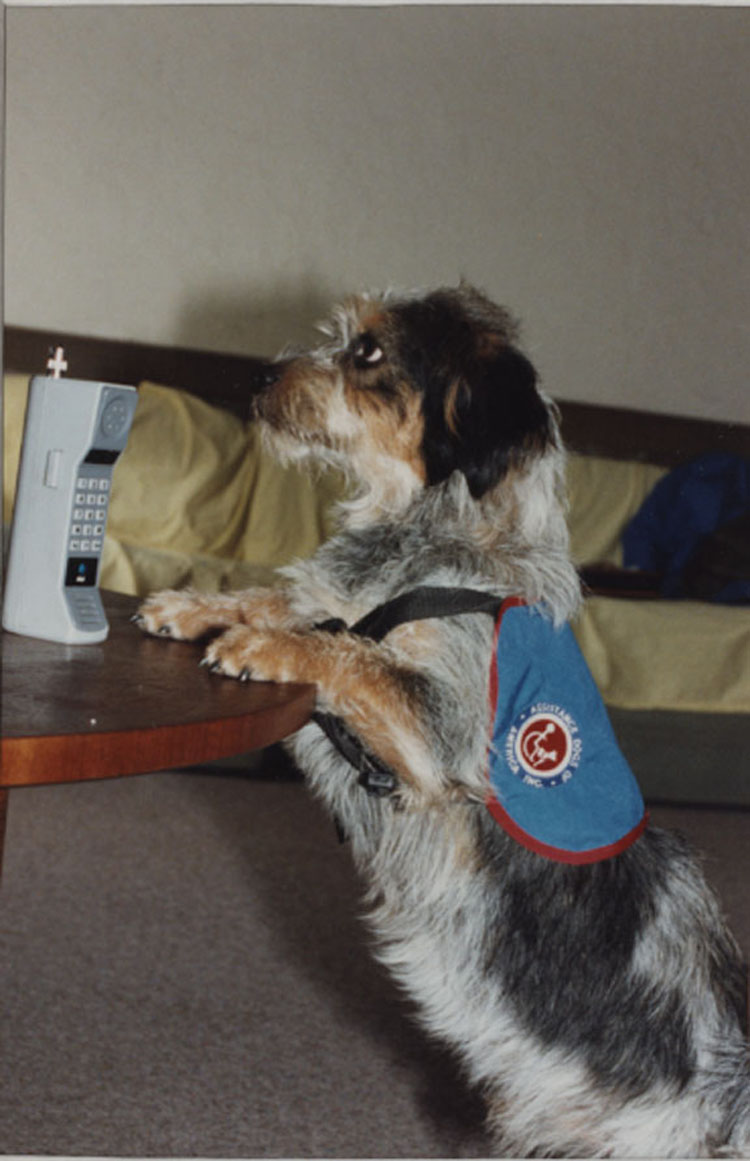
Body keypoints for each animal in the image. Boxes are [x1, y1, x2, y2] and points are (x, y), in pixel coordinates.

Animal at [135, 285, 750, 1156]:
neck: (442, 535)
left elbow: (348, 650)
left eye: (368, 352)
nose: (255, 378)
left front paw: (262, 643)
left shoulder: (434, 735)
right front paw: (196, 605)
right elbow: (295, 599)